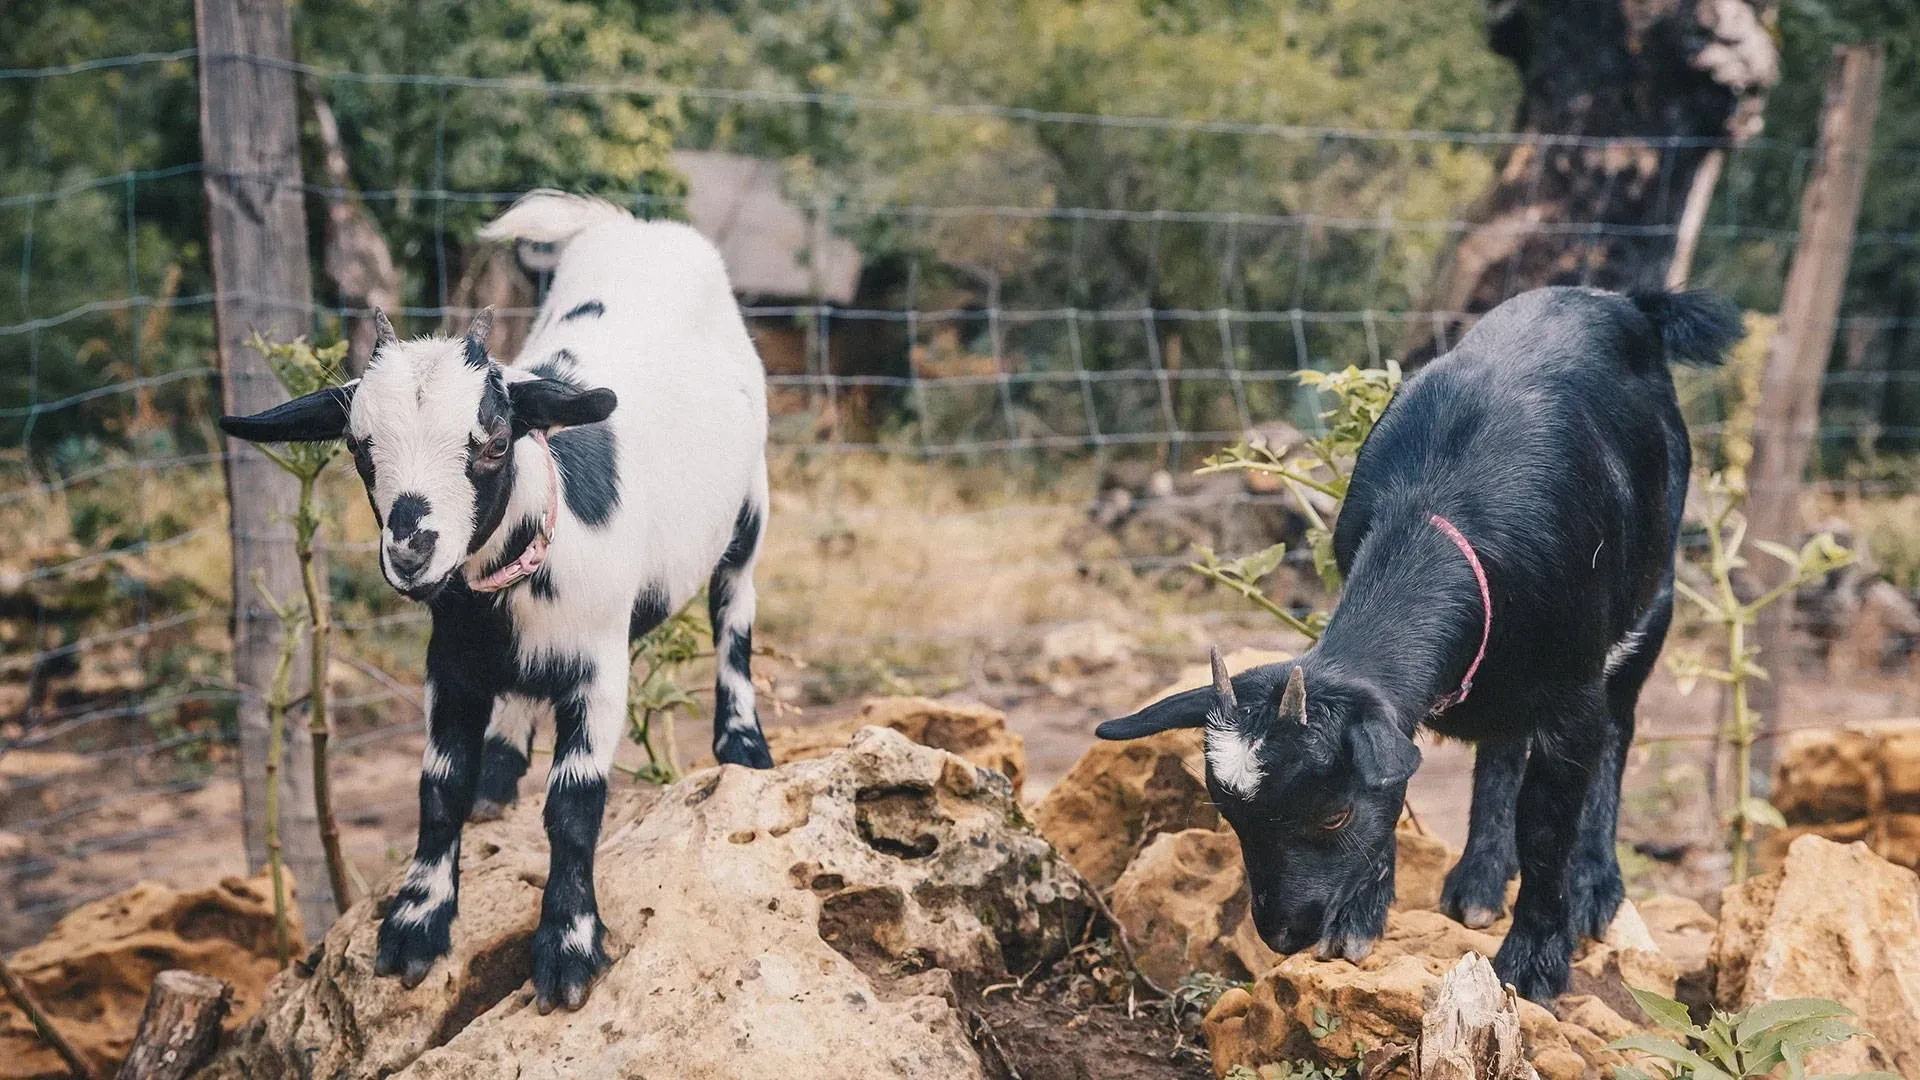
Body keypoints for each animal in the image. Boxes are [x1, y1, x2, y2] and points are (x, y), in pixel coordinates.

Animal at [219, 191, 775, 1012]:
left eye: (492, 442)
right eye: (358, 447)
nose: (411, 548)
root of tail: (634, 228)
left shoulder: (598, 671)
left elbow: (574, 806)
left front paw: (568, 949)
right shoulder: (450, 665)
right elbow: (437, 788)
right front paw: (416, 924)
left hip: (750, 508)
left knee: (734, 609)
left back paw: (741, 743)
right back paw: (502, 768)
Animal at [1097, 287, 1740, 1002]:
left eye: (1333, 816)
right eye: (1232, 819)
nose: (1284, 935)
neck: (1440, 505)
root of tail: (1623, 300)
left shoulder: (1573, 693)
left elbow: (1548, 827)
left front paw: (1534, 964)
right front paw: (1358, 921)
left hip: (1657, 593)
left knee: (1621, 726)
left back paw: (1598, 885)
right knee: (1502, 744)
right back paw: (1478, 880)